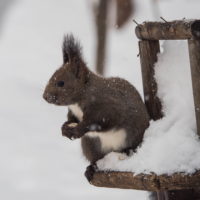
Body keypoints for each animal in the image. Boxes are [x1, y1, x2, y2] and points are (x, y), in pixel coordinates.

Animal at [43, 34, 150, 181]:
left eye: (61, 83)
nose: (45, 96)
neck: (80, 98)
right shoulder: (73, 112)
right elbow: (71, 119)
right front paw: (65, 128)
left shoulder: (108, 107)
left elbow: (98, 121)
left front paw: (77, 129)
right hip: (91, 145)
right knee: (95, 159)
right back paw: (92, 168)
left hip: (132, 136)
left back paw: (127, 151)